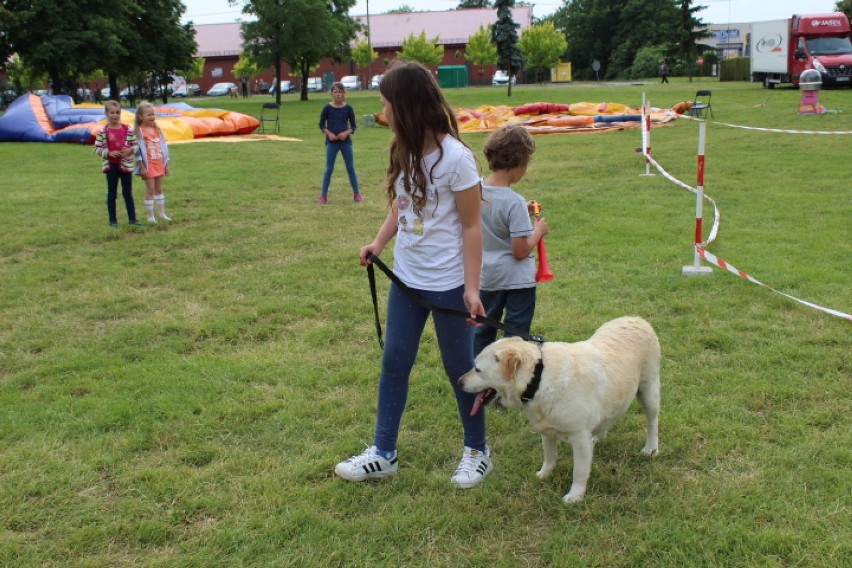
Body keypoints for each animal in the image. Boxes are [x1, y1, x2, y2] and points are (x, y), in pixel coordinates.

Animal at [460, 318, 660, 504]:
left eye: (477, 369)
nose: (458, 382)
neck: (538, 379)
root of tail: (637, 318)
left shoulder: (579, 437)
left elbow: (579, 471)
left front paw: (575, 496)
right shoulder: (547, 431)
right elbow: (549, 456)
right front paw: (544, 474)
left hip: (648, 390)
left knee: (652, 421)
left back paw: (651, 448)